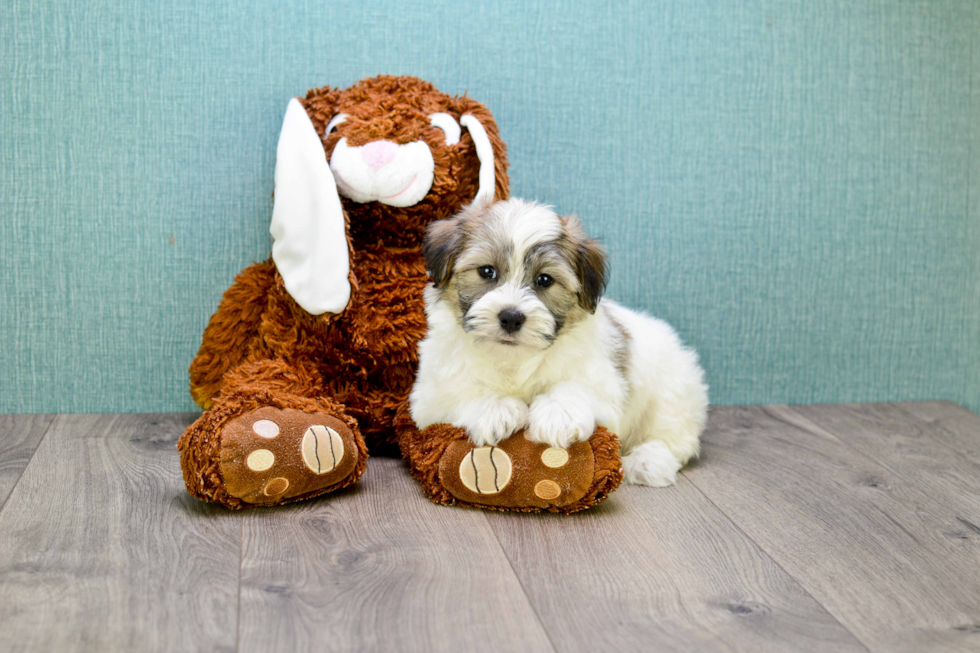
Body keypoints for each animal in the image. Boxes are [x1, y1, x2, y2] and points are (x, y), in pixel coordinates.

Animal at [410, 197, 708, 484]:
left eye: (544, 280)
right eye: (486, 272)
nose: (511, 317)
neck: (513, 359)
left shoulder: (603, 384)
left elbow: (576, 387)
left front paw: (558, 413)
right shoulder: (429, 396)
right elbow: (459, 391)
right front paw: (496, 408)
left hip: (672, 392)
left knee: (672, 437)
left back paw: (648, 461)